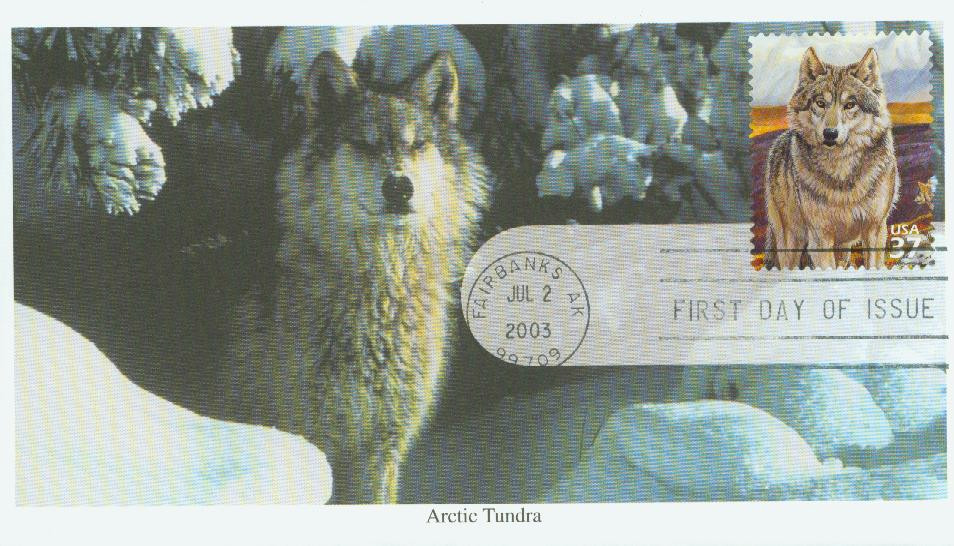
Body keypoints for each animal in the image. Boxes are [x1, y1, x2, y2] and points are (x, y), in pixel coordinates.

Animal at [224, 50, 489, 503]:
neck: (380, 290)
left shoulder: (382, 446)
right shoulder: (313, 440)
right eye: (363, 144)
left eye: (417, 144)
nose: (399, 186)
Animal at [764, 46, 899, 269]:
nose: (830, 133)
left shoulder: (875, 229)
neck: (841, 170)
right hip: (791, 240)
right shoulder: (820, 237)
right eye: (820, 103)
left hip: (843, 248)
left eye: (850, 105)